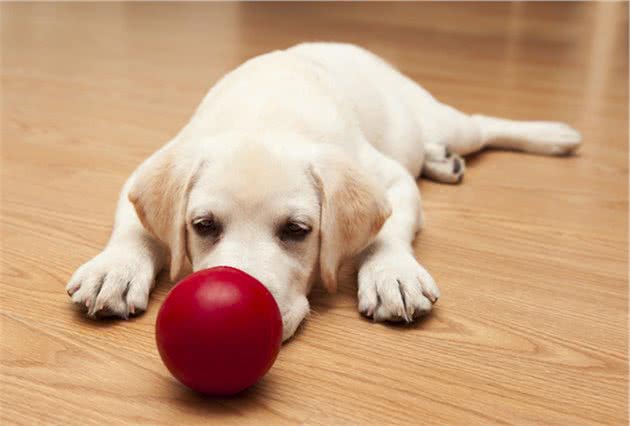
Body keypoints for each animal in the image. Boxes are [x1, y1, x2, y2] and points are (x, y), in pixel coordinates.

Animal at [65, 43, 584, 342]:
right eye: (203, 225)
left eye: (297, 230)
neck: (265, 115)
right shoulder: (148, 168)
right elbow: (133, 226)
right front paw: (114, 270)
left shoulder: (389, 179)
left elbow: (387, 231)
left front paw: (393, 274)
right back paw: (442, 161)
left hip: (441, 120)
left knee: (480, 125)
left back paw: (554, 136)